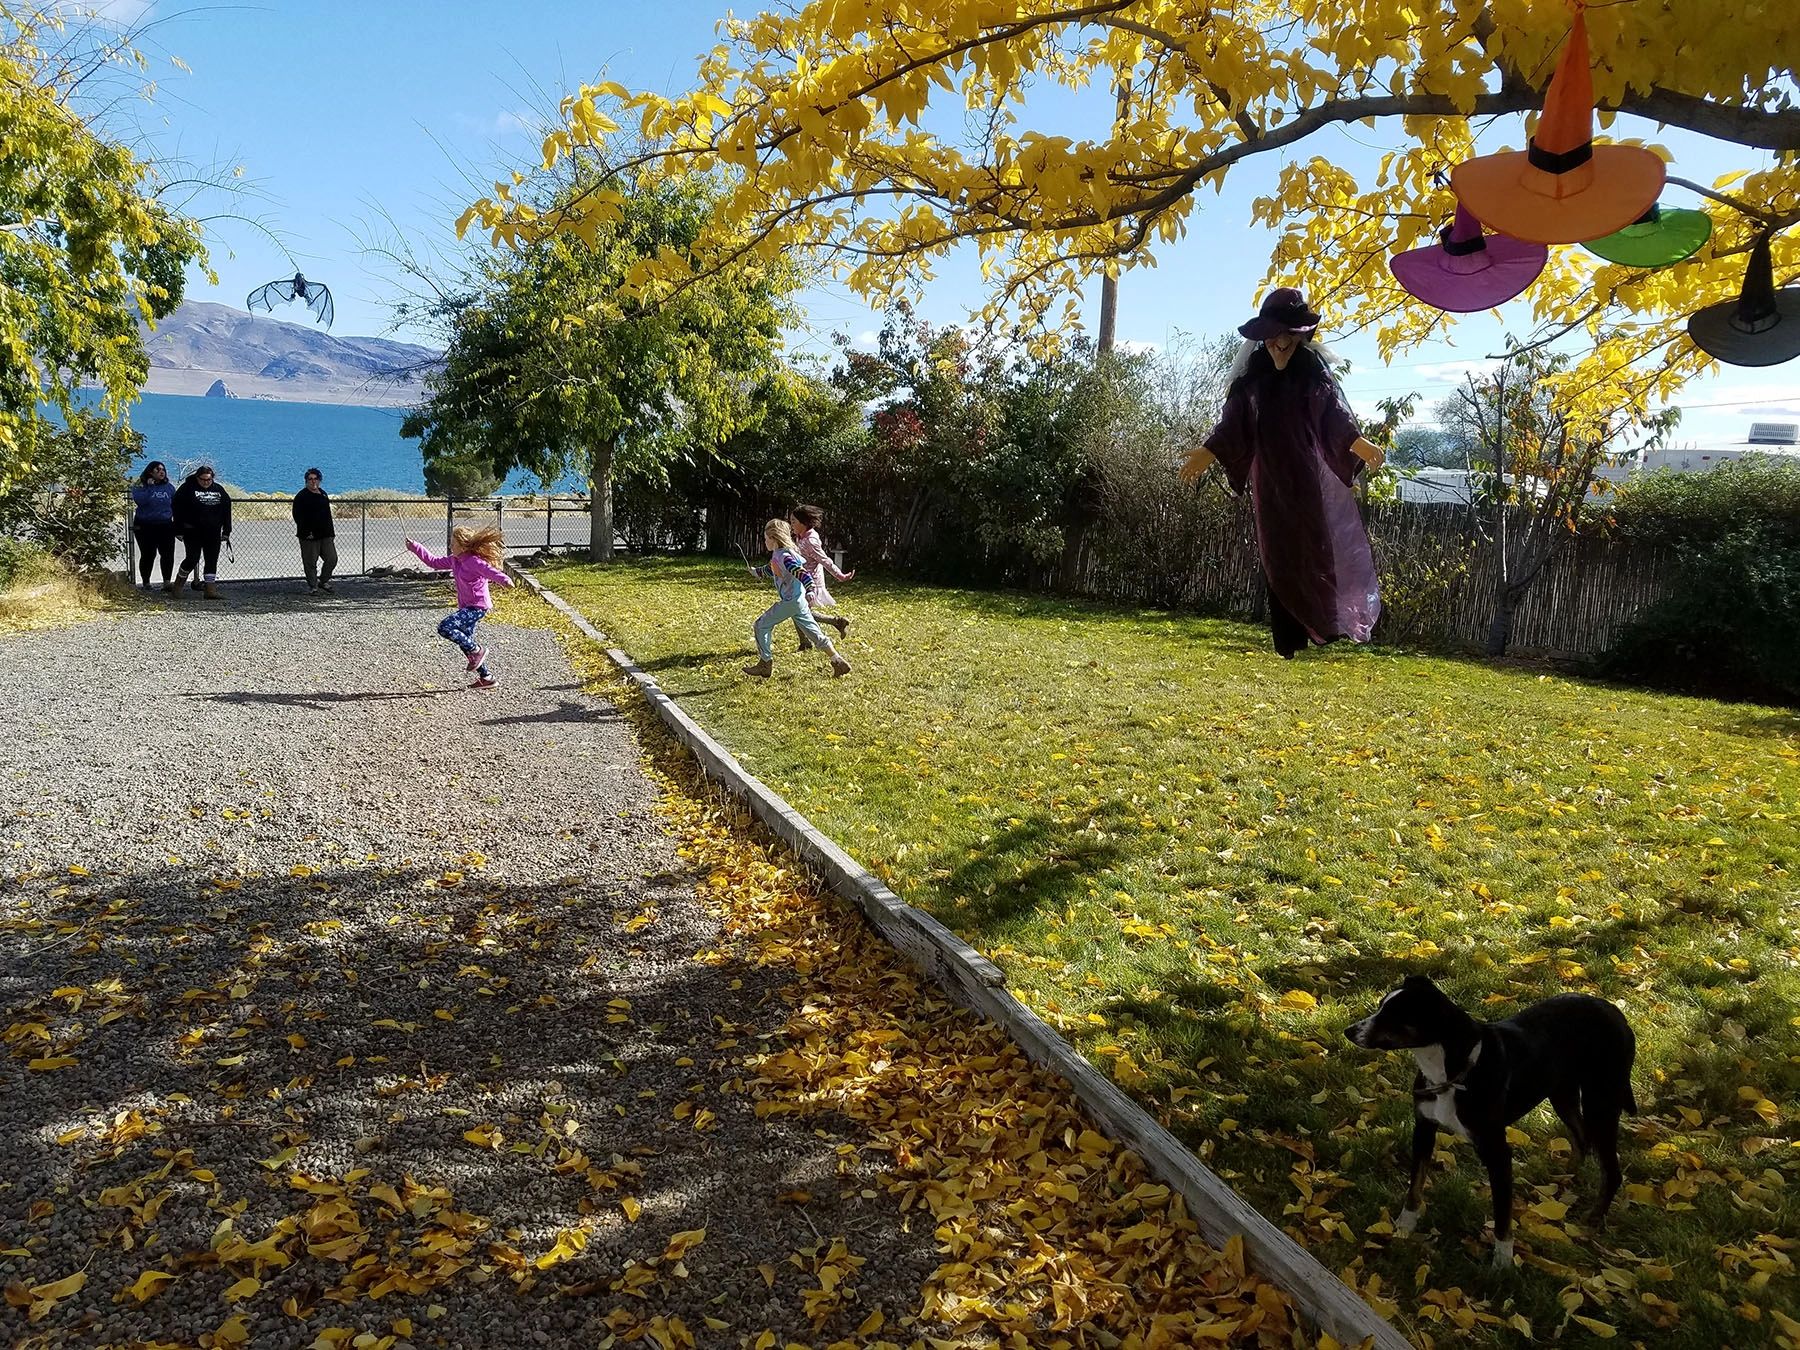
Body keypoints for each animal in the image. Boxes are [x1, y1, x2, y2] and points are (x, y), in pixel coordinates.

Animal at [1346, 972, 1641, 1267]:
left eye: (1392, 1015)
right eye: (1381, 1007)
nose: (1349, 1031)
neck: (1452, 1074)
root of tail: (1616, 1012)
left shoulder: (1497, 1150)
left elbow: (1502, 1212)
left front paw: (1502, 1260)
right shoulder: (1424, 1129)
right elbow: (1415, 1186)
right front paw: (1403, 1227)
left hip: (1601, 1101)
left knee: (1610, 1169)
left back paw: (1593, 1218)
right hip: (1562, 1093)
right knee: (1580, 1137)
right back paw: (1565, 1179)